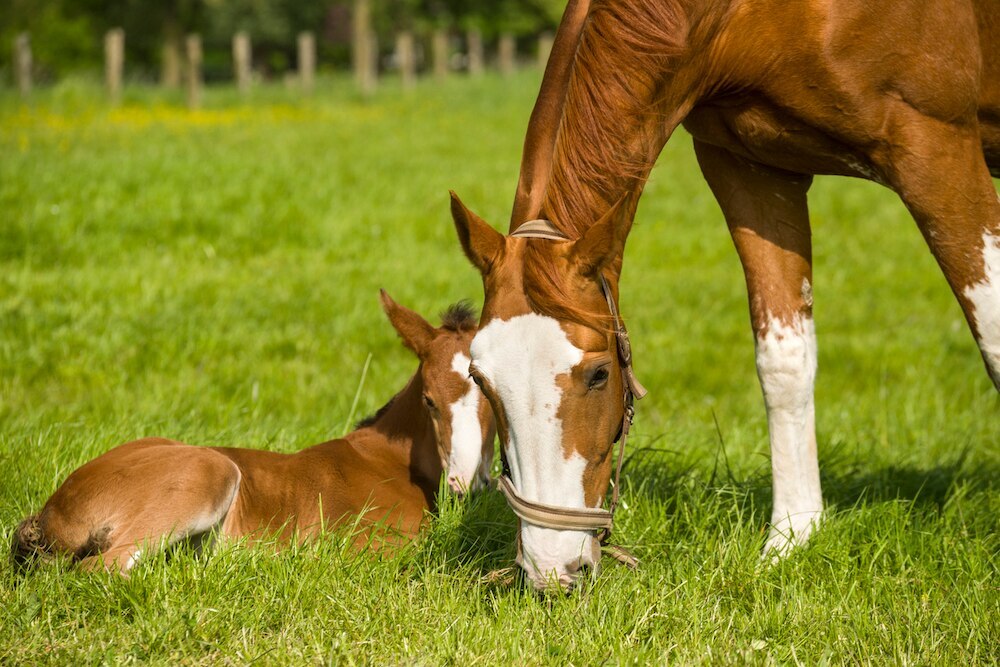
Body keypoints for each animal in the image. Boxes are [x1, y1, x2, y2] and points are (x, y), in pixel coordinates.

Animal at [11, 291, 496, 573]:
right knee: (103, 566)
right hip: (211, 471)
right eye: (429, 400)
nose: (466, 482)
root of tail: (54, 510)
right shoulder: (369, 545)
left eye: (494, 396)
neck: (389, 460)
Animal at [449, 0, 1000, 591]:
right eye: (480, 380)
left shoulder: (935, 147)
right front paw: (792, 536)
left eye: (599, 374)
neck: (739, 16)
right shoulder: (753, 167)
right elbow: (784, 360)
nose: (550, 568)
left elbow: (993, 338)